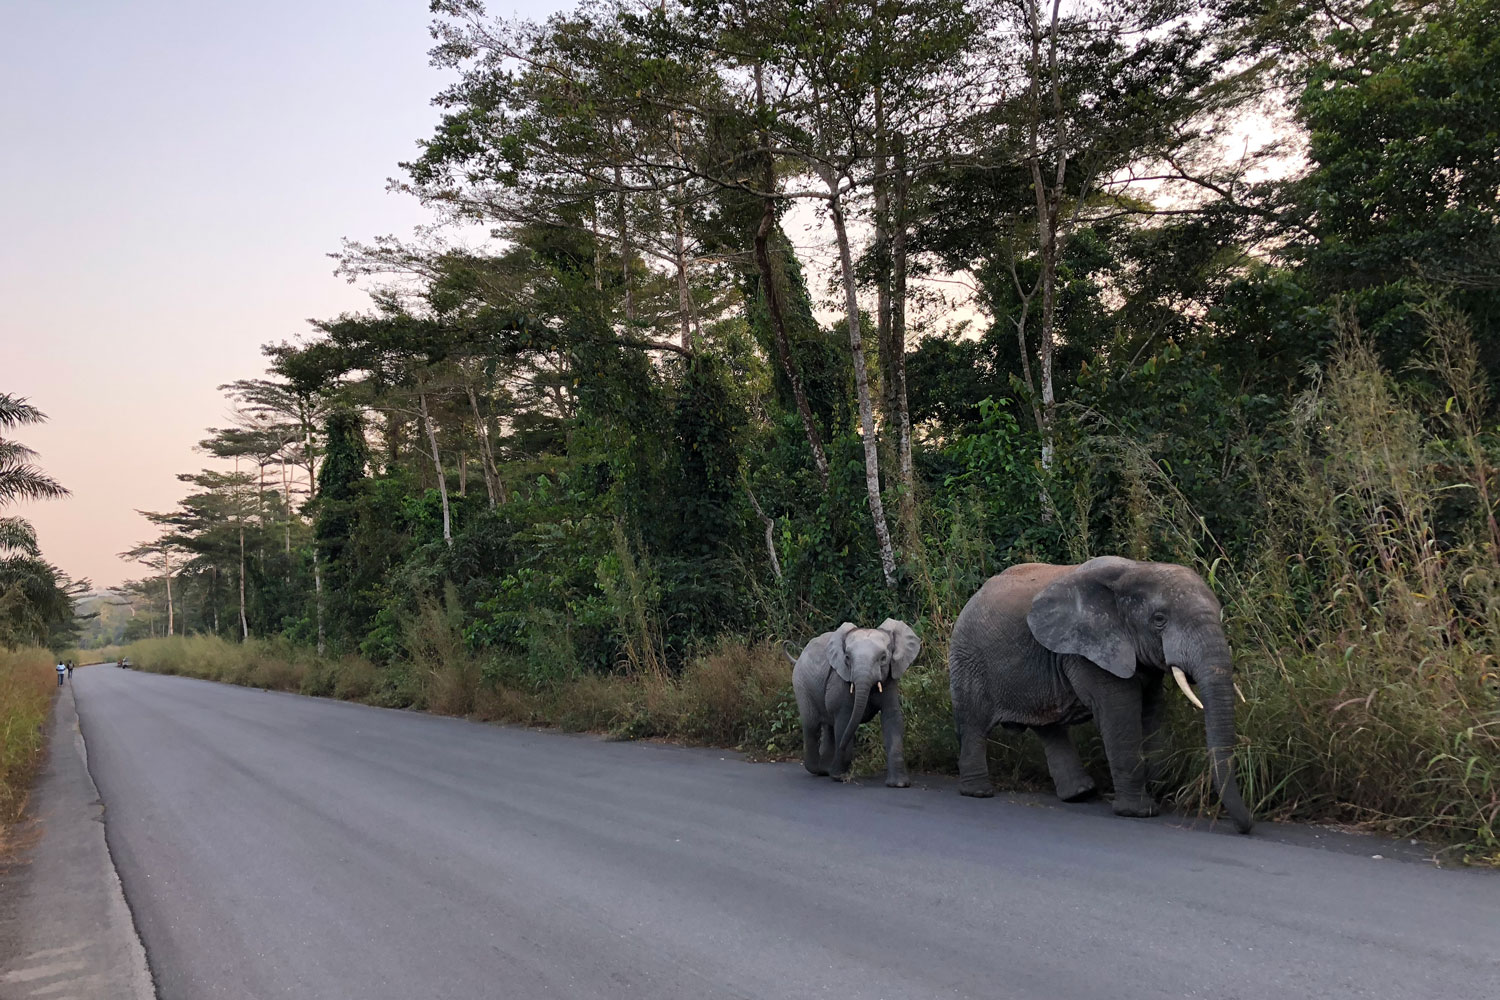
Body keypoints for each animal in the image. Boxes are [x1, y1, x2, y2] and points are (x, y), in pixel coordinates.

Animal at [792, 617, 918, 791]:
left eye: (883, 658)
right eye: (847, 658)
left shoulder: (890, 679)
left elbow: (892, 719)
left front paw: (898, 784)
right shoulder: (839, 681)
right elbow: (844, 721)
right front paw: (839, 777)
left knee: (828, 727)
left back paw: (826, 770)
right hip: (801, 684)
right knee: (812, 725)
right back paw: (819, 770)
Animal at [948, 560, 1254, 833]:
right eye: (1159, 620)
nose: (1246, 826)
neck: (1136, 568)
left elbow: (1152, 710)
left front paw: (1158, 785)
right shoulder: (1090, 649)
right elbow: (1120, 712)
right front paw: (1139, 812)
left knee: (1049, 728)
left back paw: (1080, 794)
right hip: (969, 658)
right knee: (974, 724)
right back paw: (979, 792)